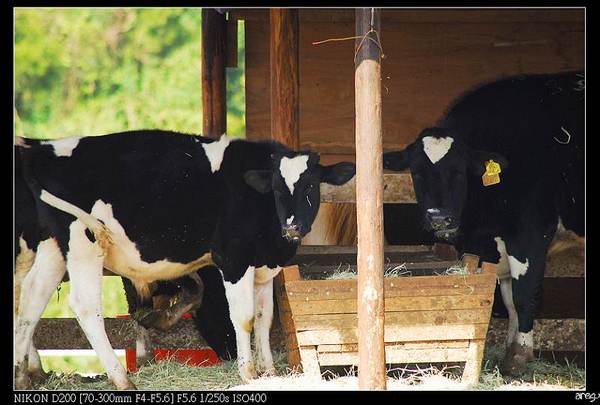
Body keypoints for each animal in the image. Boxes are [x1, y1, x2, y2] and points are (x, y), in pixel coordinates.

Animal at [15, 129, 356, 388]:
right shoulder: (233, 259)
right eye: (276, 188)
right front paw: (247, 373)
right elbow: (244, 318)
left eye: (311, 185)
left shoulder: (264, 267)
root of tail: (44, 148)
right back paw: (121, 379)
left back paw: (24, 375)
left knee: (31, 299)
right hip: (84, 241)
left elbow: (264, 318)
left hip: (53, 247)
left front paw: (269, 371)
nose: (292, 226)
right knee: (85, 307)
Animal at [382, 71, 584, 374]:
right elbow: (508, 300)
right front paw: (510, 349)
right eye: (416, 173)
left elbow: (525, 295)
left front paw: (519, 357)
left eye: (458, 171)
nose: (439, 217)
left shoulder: (531, 233)